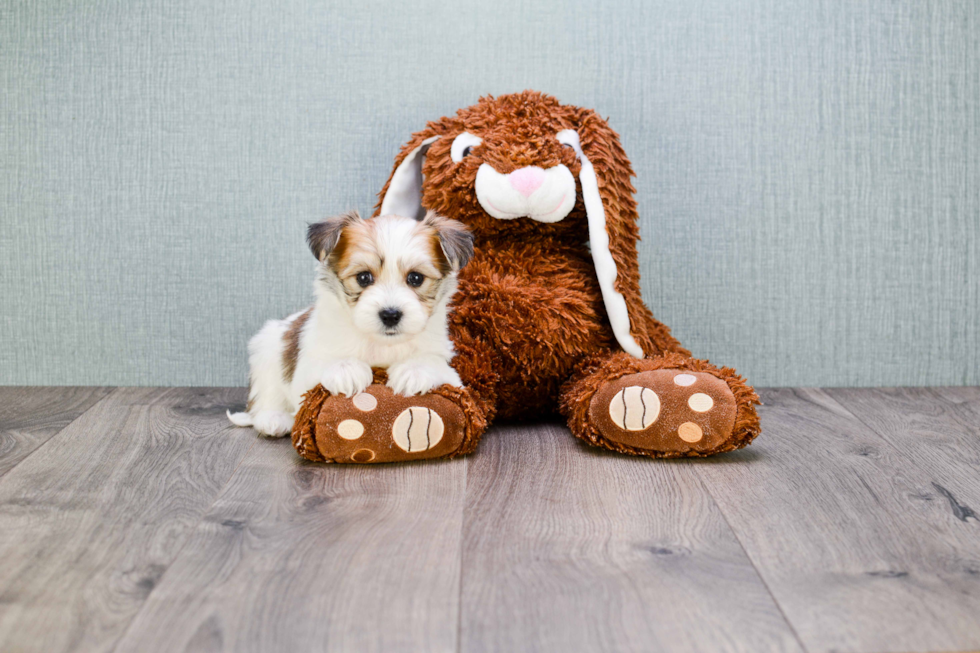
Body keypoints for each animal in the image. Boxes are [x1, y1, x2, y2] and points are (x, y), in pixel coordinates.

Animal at [230, 211, 474, 436]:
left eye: (416, 278)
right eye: (363, 278)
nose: (390, 314)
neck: (380, 344)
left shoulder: (449, 370)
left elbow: (432, 362)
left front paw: (414, 371)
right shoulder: (308, 364)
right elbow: (323, 364)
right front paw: (346, 369)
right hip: (266, 351)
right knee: (266, 393)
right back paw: (273, 419)